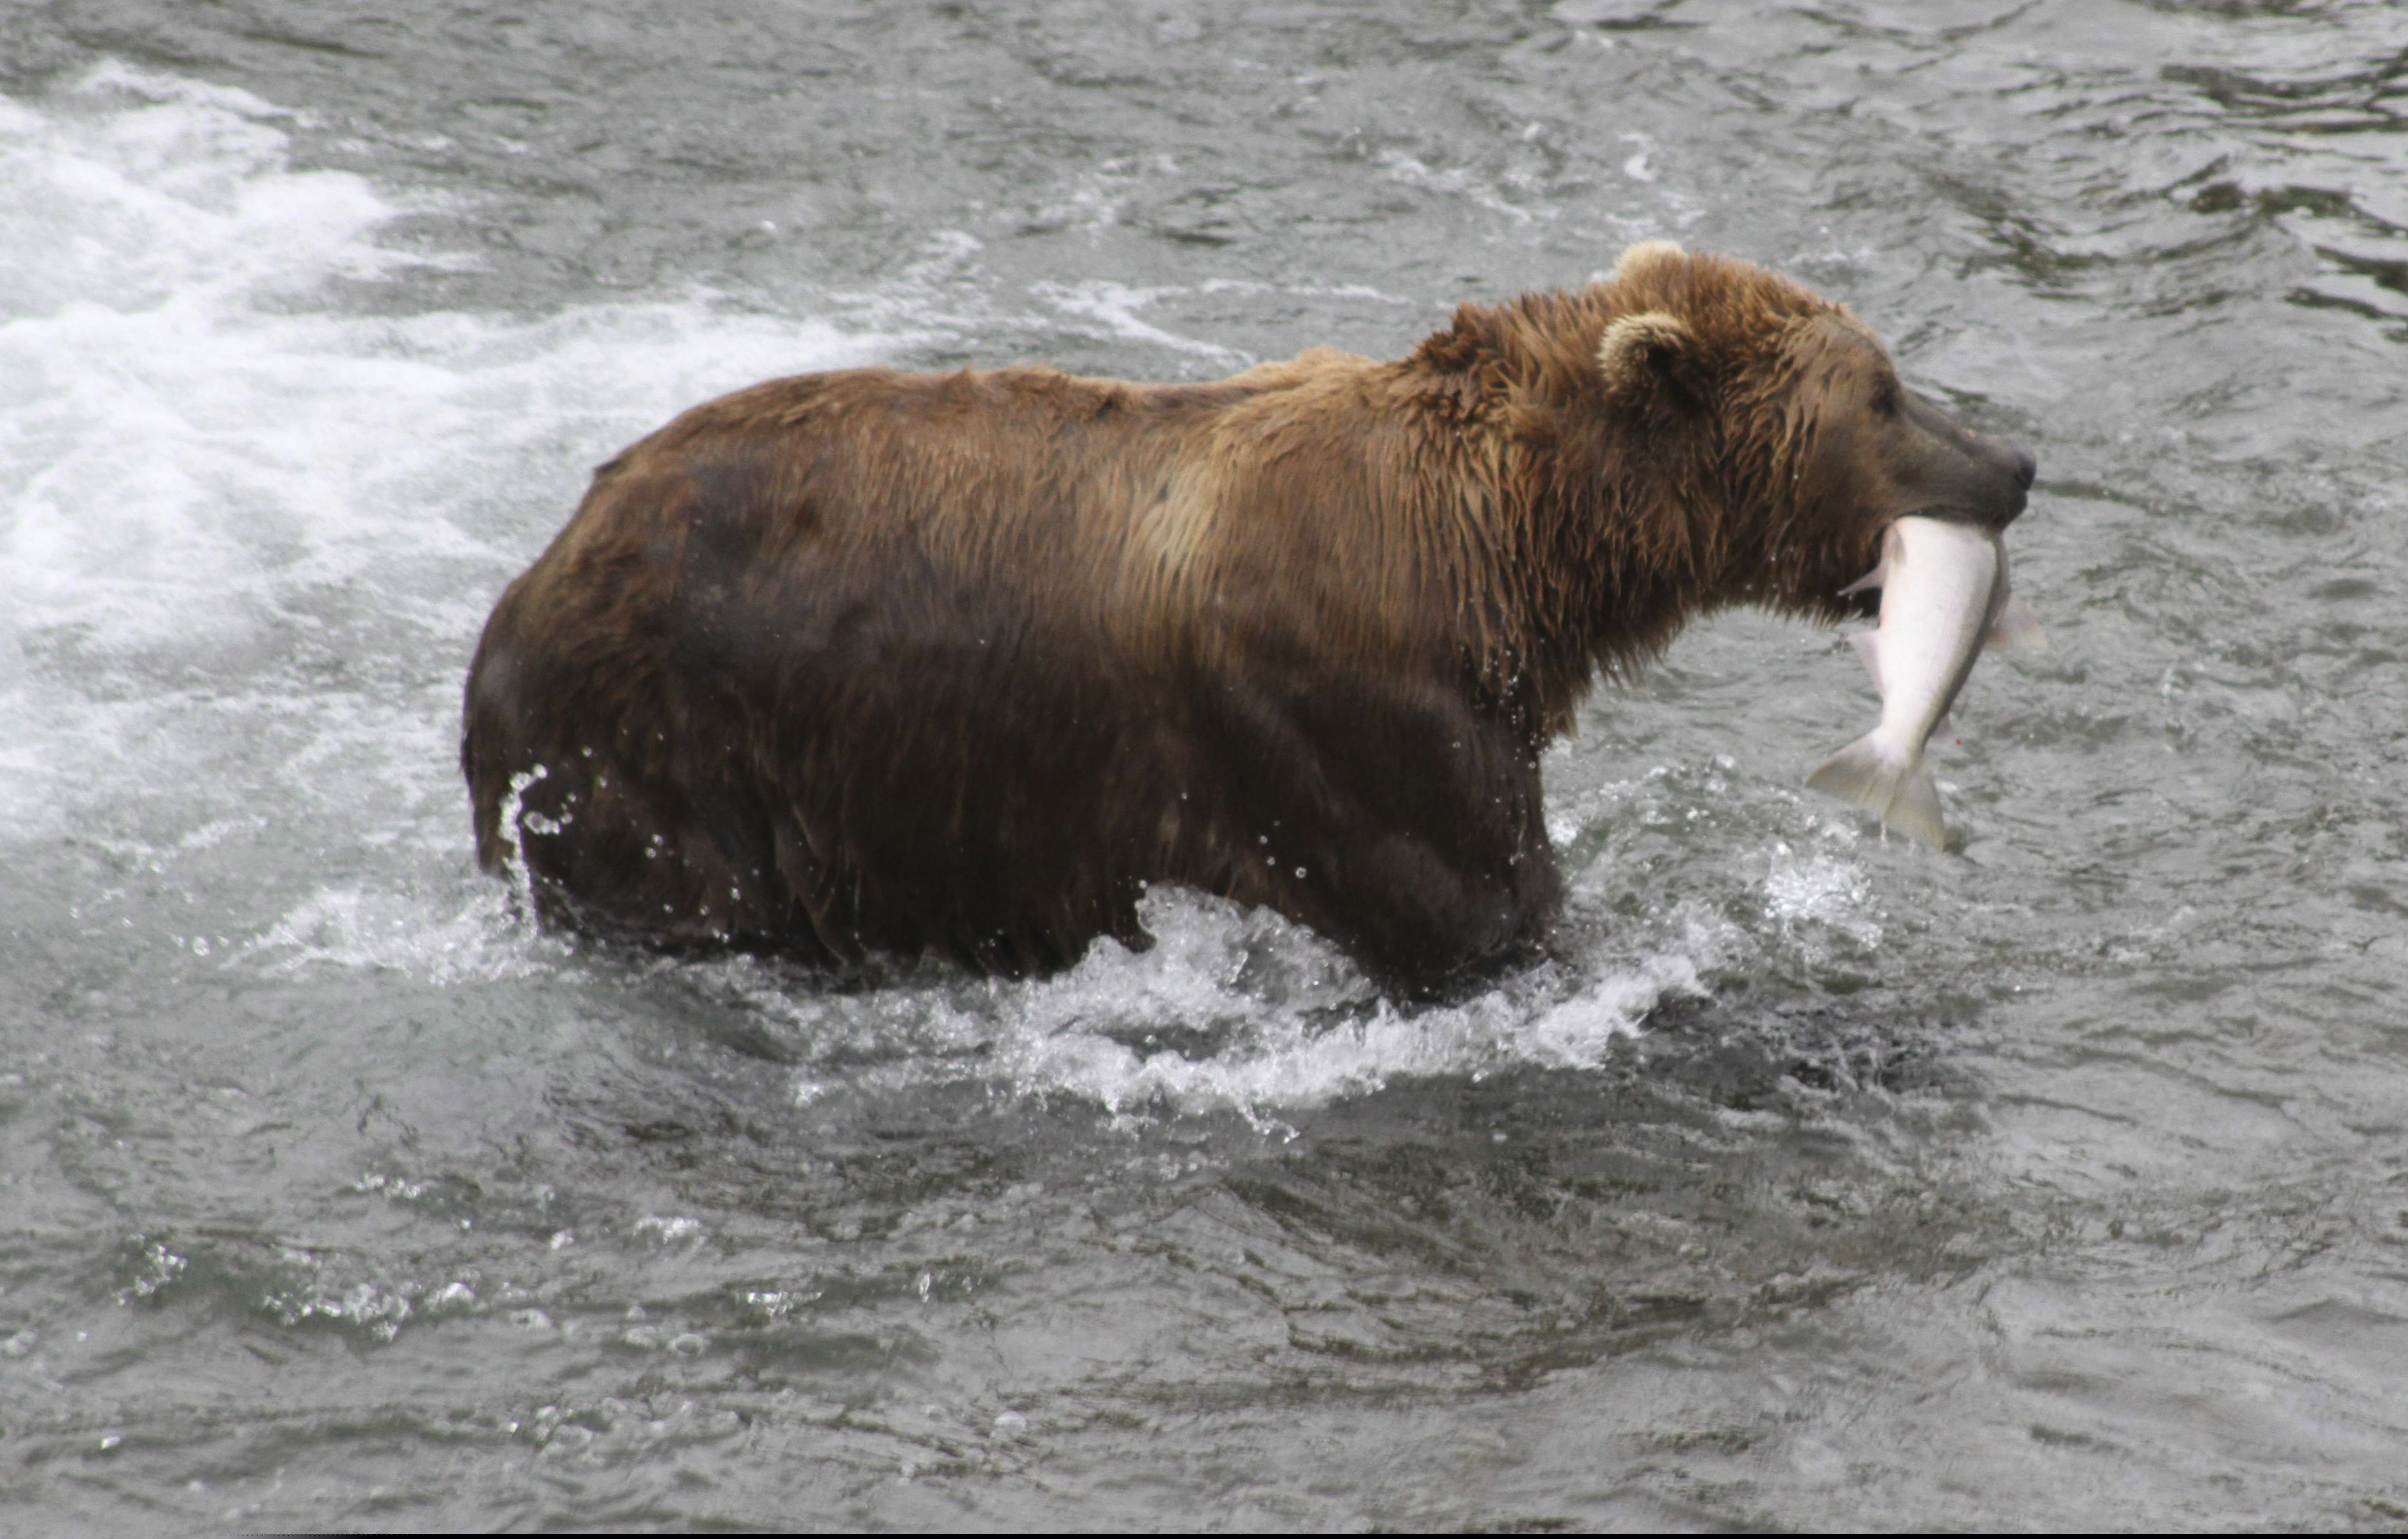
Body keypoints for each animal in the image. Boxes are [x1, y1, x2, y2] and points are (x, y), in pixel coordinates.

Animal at [461, 242, 2033, 997]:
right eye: (1882, 393)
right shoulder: (1352, 711)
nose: (2013, 462)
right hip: (662, 746)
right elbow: (1487, 916)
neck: (1508, 554)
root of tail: (528, 576)